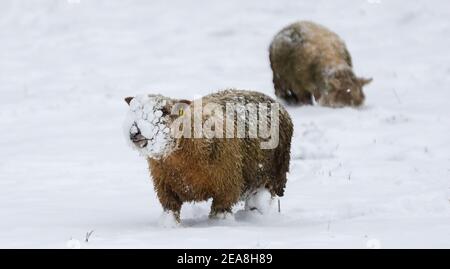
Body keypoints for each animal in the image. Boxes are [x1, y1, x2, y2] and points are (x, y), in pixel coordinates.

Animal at [123, 89, 294, 223]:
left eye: (164, 111)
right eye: (133, 111)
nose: (135, 131)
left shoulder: (227, 186)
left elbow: (219, 211)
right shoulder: (165, 188)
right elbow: (171, 210)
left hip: (274, 175)